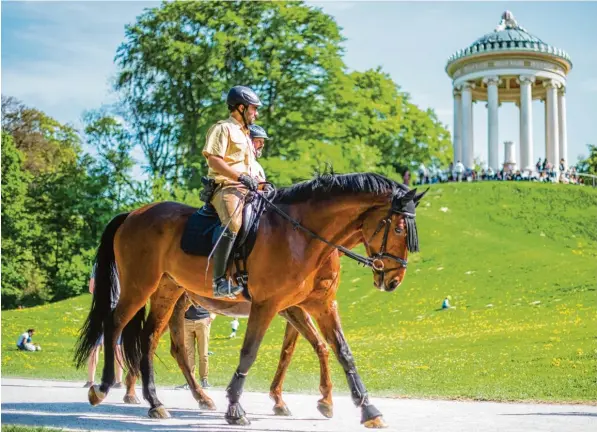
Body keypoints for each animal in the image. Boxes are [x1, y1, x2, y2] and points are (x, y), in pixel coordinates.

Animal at [74, 172, 424, 428]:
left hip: (168, 291)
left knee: (153, 340)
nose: (393, 280)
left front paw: (366, 408)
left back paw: (162, 402)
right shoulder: (270, 305)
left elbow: (337, 351)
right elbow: (251, 352)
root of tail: (135, 213)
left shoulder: (318, 305)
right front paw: (236, 406)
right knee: (115, 325)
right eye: (397, 228)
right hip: (139, 286)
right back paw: (104, 388)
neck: (303, 236)